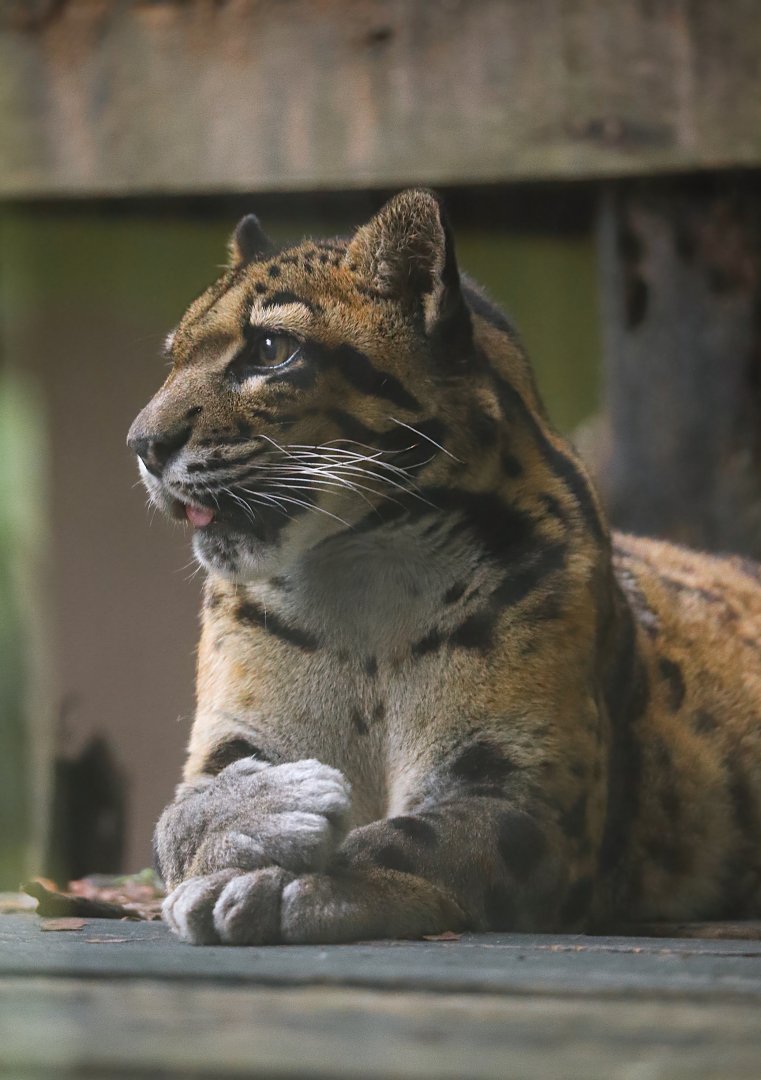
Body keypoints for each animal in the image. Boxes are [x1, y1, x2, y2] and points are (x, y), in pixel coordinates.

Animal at [128, 189, 761, 945]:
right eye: (172, 358)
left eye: (271, 350)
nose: (141, 442)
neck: (360, 581)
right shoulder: (232, 739)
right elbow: (177, 819)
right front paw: (262, 812)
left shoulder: (523, 790)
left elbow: (410, 840)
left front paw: (291, 883)